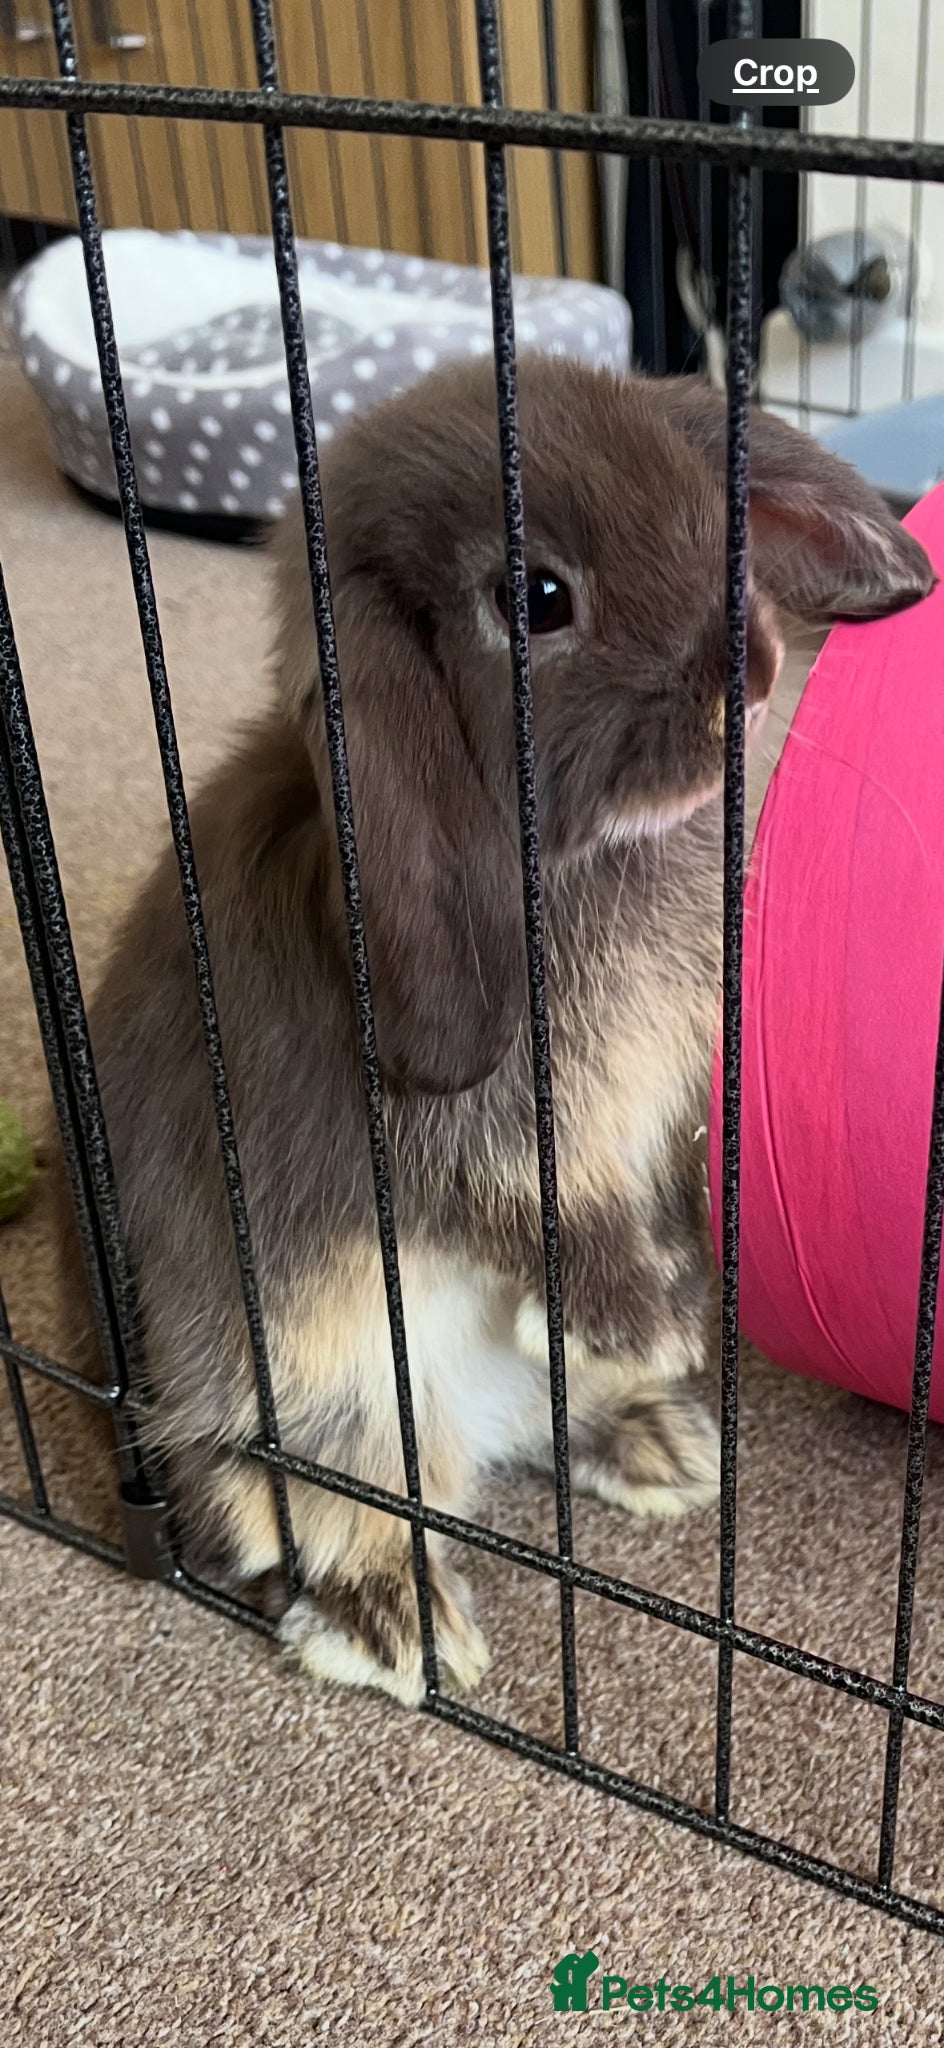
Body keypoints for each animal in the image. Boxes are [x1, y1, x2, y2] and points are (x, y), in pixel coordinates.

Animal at [54, 355, 934, 1705]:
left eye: (710, 514)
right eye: (537, 598)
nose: (745, 675)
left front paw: (667, 1313)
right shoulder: (467, 1133)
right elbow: (535, 1201)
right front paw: (648, 1315)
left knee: (526, 1424)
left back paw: (661, 1443)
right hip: (302, 1369)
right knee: (306, 1493)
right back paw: (395, 1622)